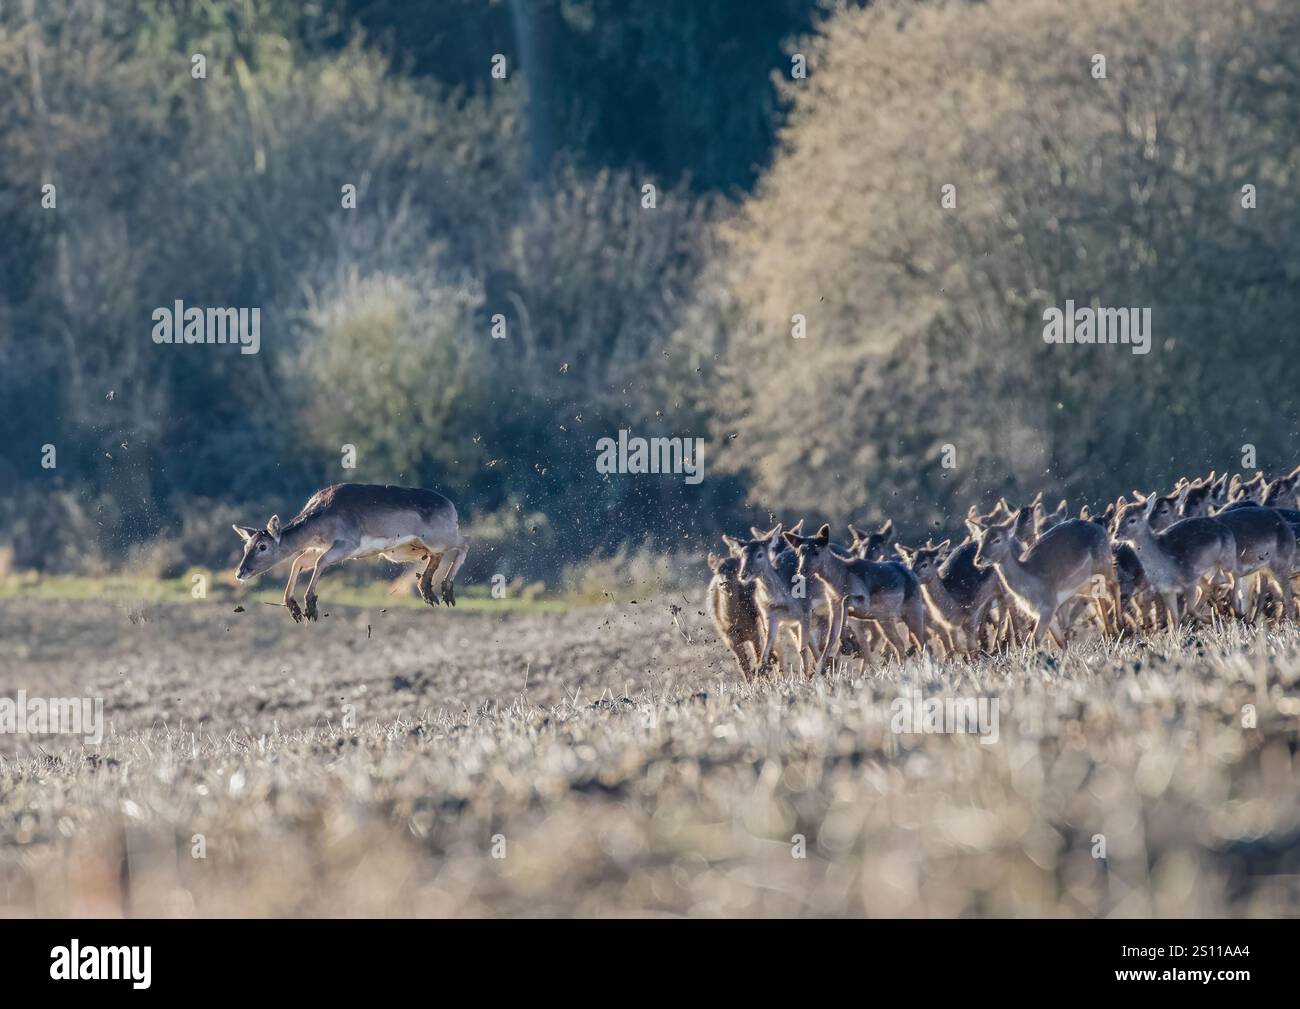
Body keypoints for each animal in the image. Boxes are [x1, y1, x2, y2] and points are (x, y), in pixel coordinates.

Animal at [233, 483, 469, 622]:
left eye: (263, 546)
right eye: (246, 546)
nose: (240, 573)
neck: (320, 522)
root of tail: (451, 506)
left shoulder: (348, 543)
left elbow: (320, 561)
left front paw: (310, 606)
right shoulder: (320, 547)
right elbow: (299, 560)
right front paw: (294, 608)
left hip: (438, 537)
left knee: (465, 542)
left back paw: (446, 590)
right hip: (406, 549)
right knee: (438, 555)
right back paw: (428, 590)